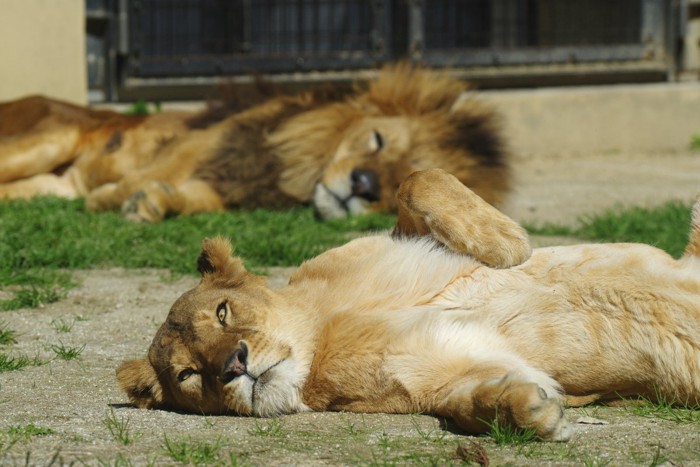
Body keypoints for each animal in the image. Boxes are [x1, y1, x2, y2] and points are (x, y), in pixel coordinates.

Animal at [0, 64, 506, 223]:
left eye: (405, 180)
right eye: (377, 140)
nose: (363, 185)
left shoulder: (222, 188)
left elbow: (184, 198)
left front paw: (151, 204)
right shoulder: (206, 142)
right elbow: (154, 172)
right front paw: (111, 200)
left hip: (45, 185)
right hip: (51, 137)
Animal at [116, 169, 700, 442]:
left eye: (222, 313)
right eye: (190, 376)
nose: (234, 365)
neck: (320, 330)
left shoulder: (402, 235)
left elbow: (418, 179)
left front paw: (508, 244)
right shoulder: (438, 373)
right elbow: (469, 404)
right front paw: (530, 412)